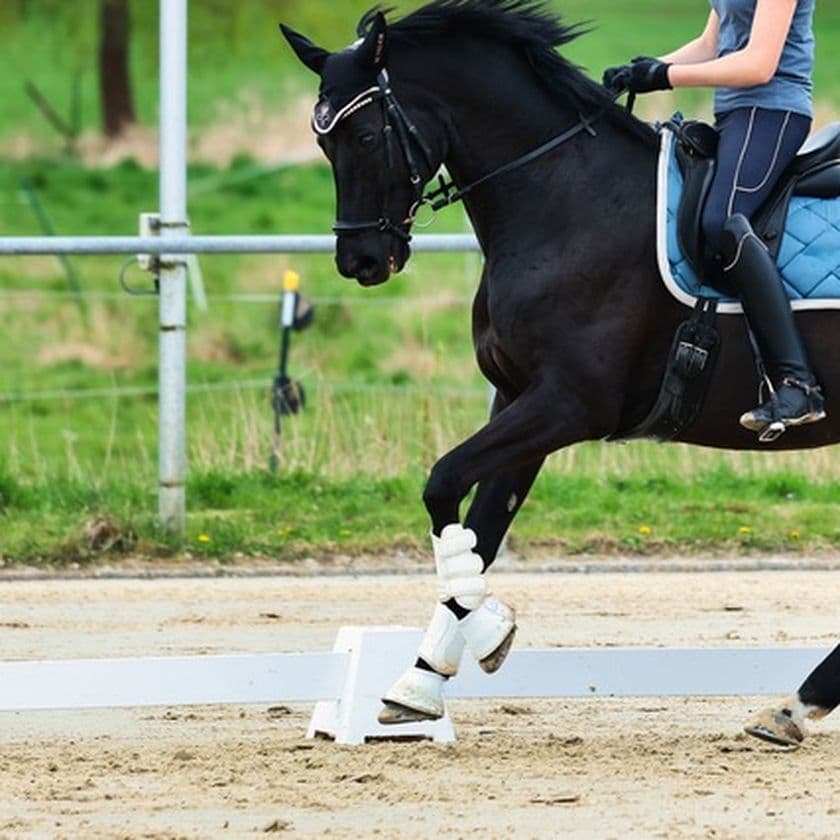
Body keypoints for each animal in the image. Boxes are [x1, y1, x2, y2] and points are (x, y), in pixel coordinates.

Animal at [281, 0, 839, 748]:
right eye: (323, 144)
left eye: (366, 135)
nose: (362, 261)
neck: (562, 195)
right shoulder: (518, 399)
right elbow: (479, 525)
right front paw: (420, 683)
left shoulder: (568, 405)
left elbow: (441, 482)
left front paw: (490, 632)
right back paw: (794, 706)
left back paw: (797, 703)